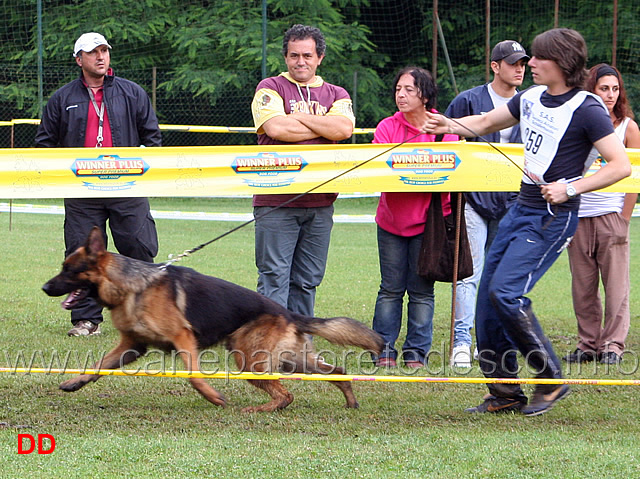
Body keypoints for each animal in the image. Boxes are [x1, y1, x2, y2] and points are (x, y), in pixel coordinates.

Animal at [42, 228, 382, 412]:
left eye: (69, 270)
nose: (45, 287)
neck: (131, 286)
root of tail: (289, 312)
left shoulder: (183, 338)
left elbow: (194, 376)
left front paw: (215, 397)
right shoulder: (132, 346)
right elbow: (96, 366)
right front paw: (74, 382)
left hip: (250, 361)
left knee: (287, 394)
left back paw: (259, 409)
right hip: (291, 361)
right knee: (337, 372)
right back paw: (350, 402)